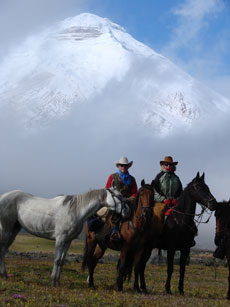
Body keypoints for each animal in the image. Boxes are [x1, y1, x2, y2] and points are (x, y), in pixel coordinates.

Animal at [0, 185, 129, 286]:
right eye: (119, 196)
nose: (127, 211)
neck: (76, 210)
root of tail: (3, 196)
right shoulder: (60, 239)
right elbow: (57, 259)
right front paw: (53, 281)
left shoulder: (68, 240)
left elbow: (62, 261)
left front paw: (58, 281)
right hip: (6, 229)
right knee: (2, 250)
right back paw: (4, 275)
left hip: (14, 230)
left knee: (4, 249)